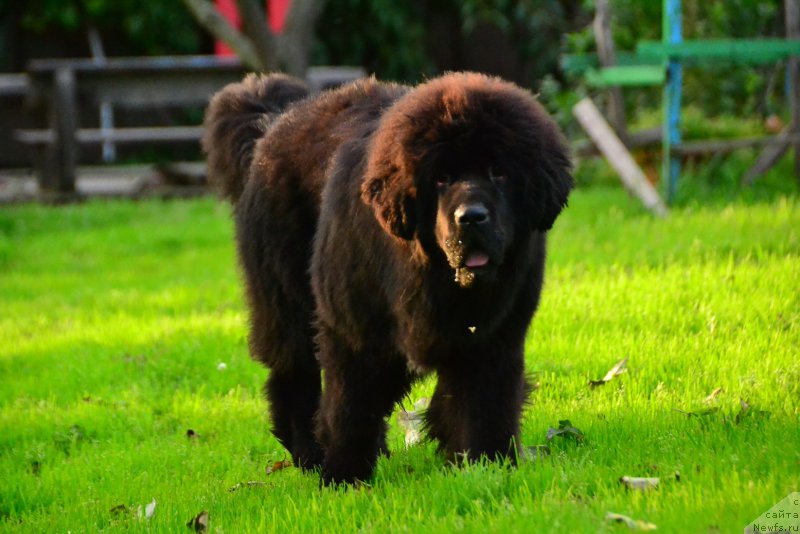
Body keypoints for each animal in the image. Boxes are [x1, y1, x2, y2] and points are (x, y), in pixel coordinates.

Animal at [203, 71, 572, 486]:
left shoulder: (494, 335)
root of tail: (276, 121)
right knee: (296, 375)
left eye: (500, 173)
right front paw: (343, 478)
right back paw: (309, 454)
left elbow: (485, 403)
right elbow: (349, 406)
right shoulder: (354, 331)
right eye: (441, 179)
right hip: (287, 302)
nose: (471, 217)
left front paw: (488, 466)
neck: (435, 278)